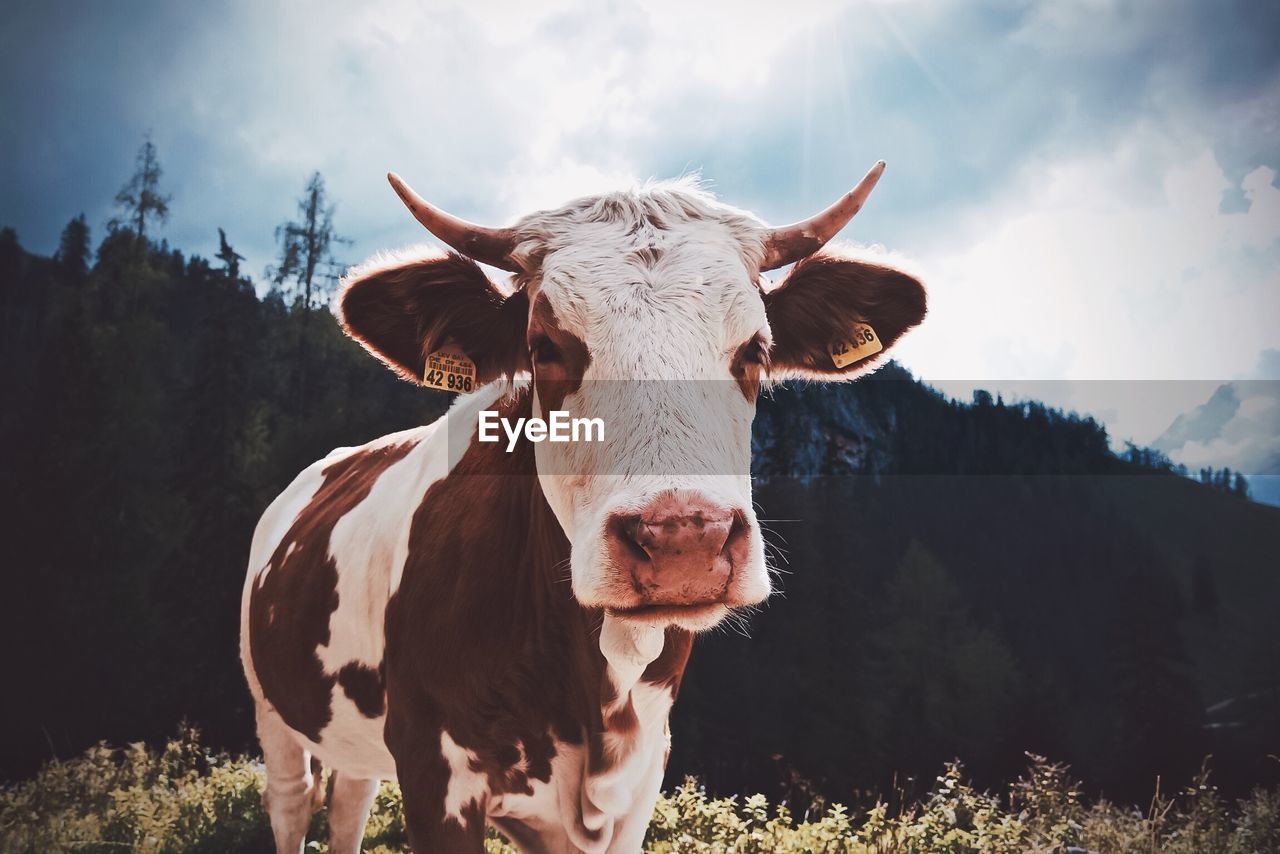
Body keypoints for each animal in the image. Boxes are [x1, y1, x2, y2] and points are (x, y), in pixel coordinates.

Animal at [238, 161, 921, 854]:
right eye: (544, 345)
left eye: (755, 347)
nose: (683, 538)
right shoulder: (436, 773)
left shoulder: (641, 778)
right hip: (272, 707)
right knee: (291, 801)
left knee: (349, 801)